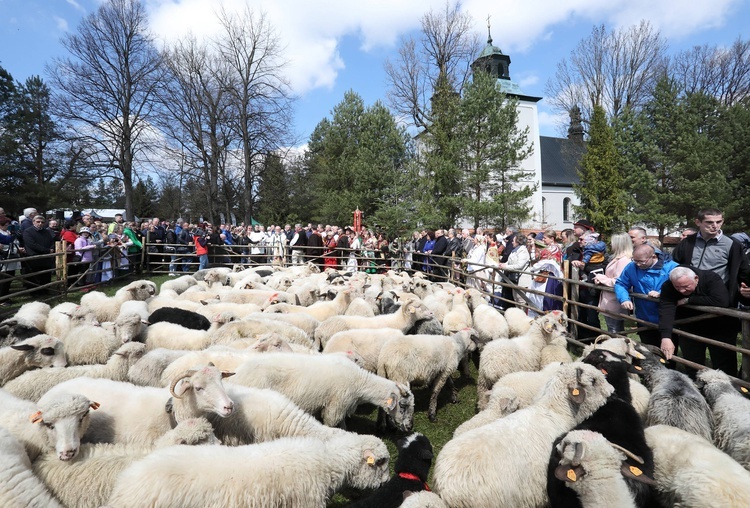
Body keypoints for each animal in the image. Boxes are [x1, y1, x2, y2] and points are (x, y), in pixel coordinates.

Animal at [229, 354, 418, 432]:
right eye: (402, 405)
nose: (409, 427)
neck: (360, 383)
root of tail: (239, 373)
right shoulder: (335, 405)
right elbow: (332, 423)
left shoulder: (341, 406)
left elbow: (343, 424)